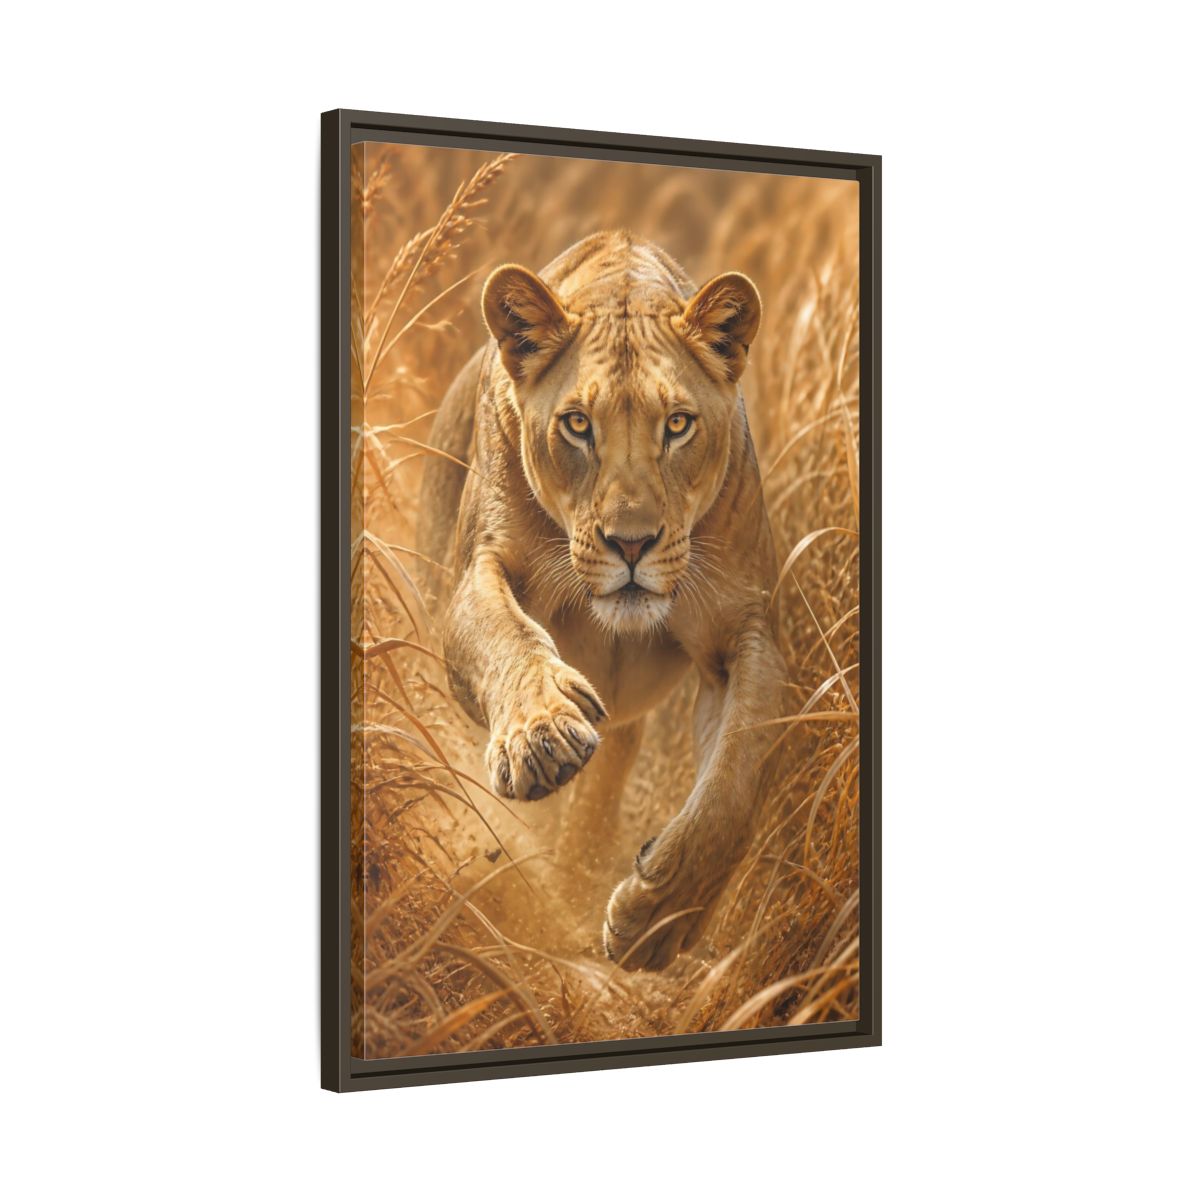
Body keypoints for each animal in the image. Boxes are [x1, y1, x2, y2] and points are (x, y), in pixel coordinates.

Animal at [417, 231, 786, 971]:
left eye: (678, 424)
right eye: (578, 425)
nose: (632, 543)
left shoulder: (744, 627)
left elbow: (737, 775)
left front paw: (655, 921)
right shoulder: (477, 570)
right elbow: (503, 636)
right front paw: (541, 737)